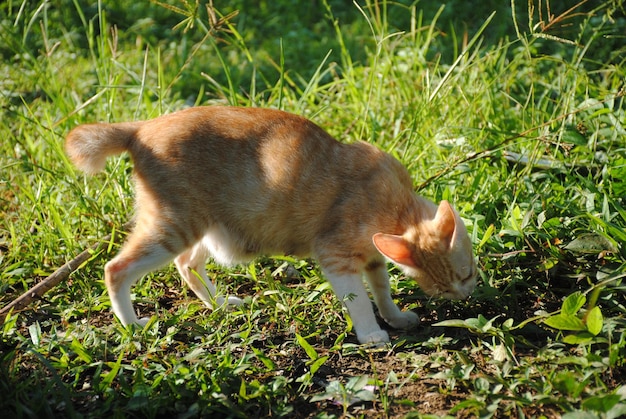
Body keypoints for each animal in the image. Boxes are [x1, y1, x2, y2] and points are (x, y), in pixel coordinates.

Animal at [66, 106, 476, 346]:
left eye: (466, 276)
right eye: (451, 284)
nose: (465, 297)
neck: (393, 206)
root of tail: (141, 128)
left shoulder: (373, 257)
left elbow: (382, 289)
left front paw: (394, 317)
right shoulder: (335, 256)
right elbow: (358, 299)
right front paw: (372, 332)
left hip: (205, 227)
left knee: (187, 264)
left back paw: (220, 304)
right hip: (173, 227)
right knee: (116, 269)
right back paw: (132, 326)